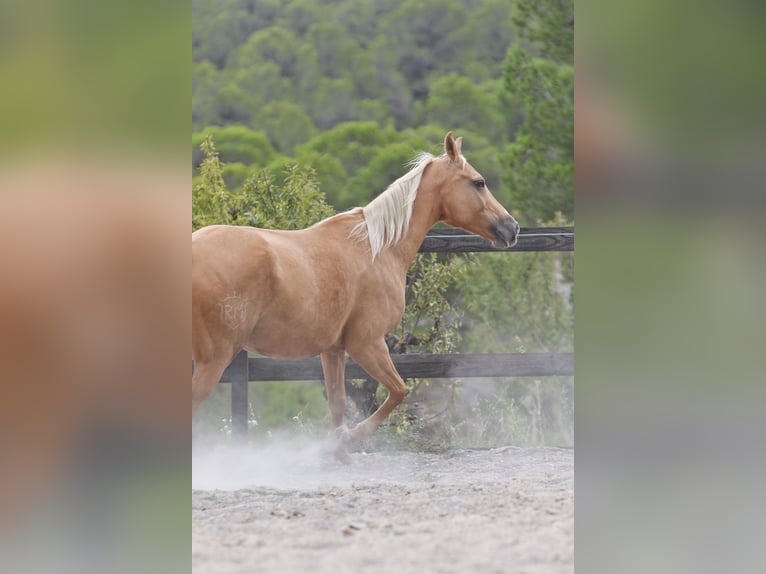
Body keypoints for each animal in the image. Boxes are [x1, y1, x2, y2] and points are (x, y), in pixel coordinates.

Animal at [190, 134, 520, 460]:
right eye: (479, 182)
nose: (512, 228)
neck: (378, 249)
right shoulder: (367, 344)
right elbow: (398, 391)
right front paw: (351, 437)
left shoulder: (333, 351)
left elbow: (338, 403)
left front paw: (339, 452)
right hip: (214, 360)